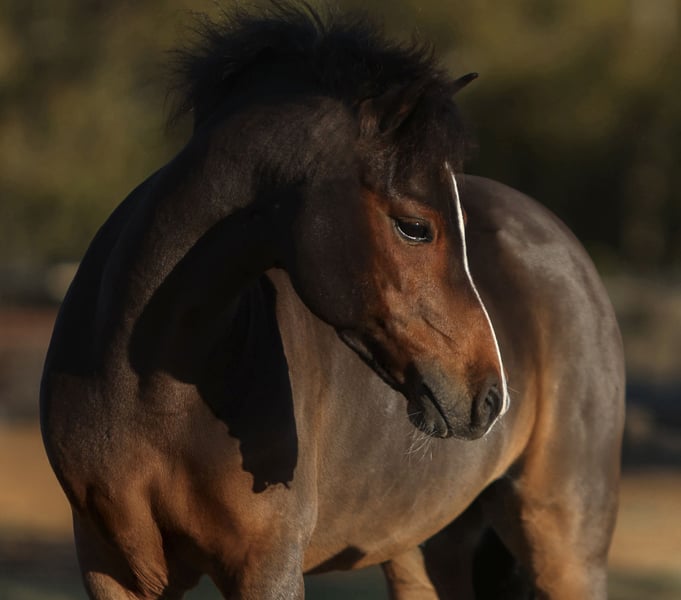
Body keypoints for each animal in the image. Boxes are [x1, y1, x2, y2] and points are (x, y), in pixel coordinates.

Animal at [40, 5, 625, 599]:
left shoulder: (266, 564)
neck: (151, 390)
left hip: (564, 544)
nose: (491, 397)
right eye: (415, 227)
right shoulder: (114, 566)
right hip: (422, 546)